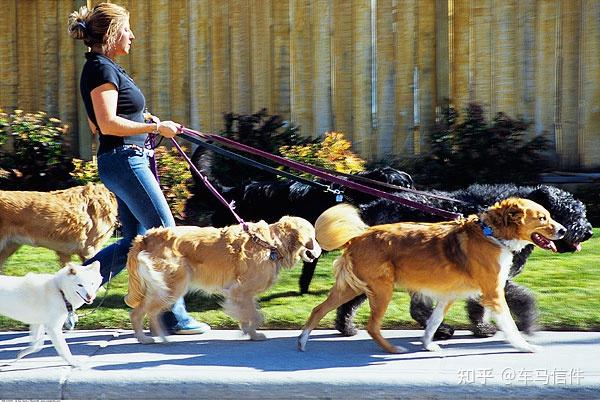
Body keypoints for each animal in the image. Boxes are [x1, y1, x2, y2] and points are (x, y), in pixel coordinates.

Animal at [123, 215, 322, 344]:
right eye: (314, 236)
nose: (321, 250)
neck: (271, 244)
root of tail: (144, 238)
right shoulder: (240, 291)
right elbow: (256, 315)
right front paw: (253, 334)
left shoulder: (242, 294)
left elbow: (249, 313)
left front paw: (247, 330)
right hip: (172, 287)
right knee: (139, 313)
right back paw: (144, 338)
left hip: (165, 288)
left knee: (149, 313)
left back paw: (159, 336)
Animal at [300, 199, 568, 354]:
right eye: (542, 218)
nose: (564, 230)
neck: (491, 233)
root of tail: (358, 236)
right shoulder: (493, 294)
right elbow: (510, 325)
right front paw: (524, 345)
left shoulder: (448, 296)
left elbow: (433, 322)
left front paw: (428, 344)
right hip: (381, 291)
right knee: (371, 326)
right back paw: (392, 349)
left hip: (351, 288)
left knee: (318, 309)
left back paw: (302, 341)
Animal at [332, 184, 596, 340]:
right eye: (569, 213)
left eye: (581, 211)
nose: (588, 232)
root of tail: (369, 209)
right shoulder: (496, 278)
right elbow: (525, 298)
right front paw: (529, 325)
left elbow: (478, 306)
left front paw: (481, 329)